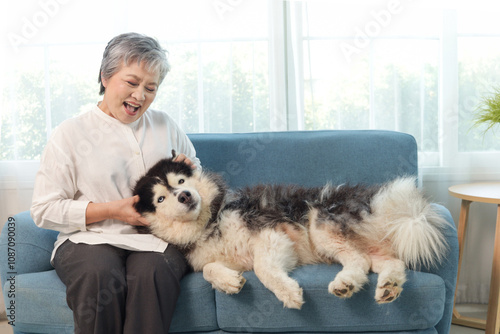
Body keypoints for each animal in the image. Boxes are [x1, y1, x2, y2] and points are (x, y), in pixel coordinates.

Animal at [134, 155, 450, 310]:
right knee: (388, 262)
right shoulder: (217, 256)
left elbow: (262, 268)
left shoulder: (272, 235)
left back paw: (345, 282)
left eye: (181, 180)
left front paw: (287, 292)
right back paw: (388, 286)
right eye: (161, 198)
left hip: (320, 224)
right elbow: (209, 269)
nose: (185, 196)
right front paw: (229, 281)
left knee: (359, 260)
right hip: (363, 243)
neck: (210, 219)